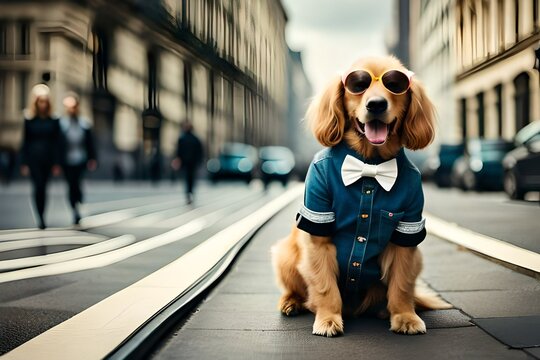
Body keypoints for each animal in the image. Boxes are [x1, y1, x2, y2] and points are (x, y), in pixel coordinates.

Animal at [270, 56, 452, 338]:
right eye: (358, 84)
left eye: (395, 84)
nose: (376, 104)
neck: (370, 163)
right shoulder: (318, 232)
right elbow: (325, 286)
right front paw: (328, 319)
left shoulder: (407, 231)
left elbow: (402, 285)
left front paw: (405, 316)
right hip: (285, 254)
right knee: (296, 288)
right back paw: (291, 302)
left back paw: (383, 309)